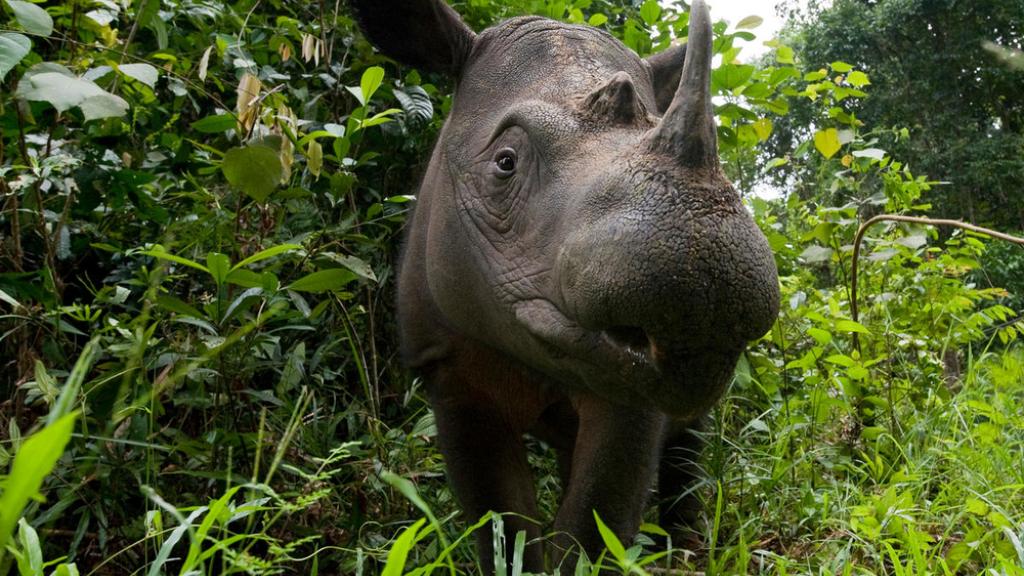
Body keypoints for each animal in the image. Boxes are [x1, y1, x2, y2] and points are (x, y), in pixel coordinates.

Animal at [350, 0, 780, 570]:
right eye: (504, 162)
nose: (708, 287)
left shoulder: (631, 389)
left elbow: (595, 524)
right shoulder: (447, 369)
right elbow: (499, 519)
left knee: (689, 433)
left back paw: (685, 552)